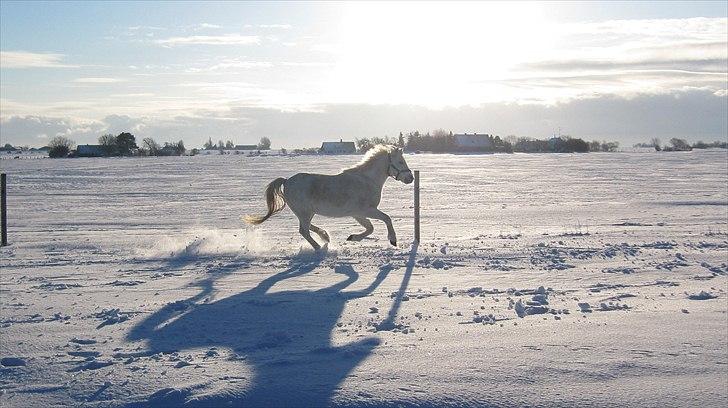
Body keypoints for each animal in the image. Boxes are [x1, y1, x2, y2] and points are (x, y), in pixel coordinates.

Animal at [246, 145, 412, 250]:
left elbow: (370, 228)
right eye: (400, 161)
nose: (411, 178)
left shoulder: (358, 214)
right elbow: (386, 219)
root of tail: (287, 181)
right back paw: (319, 248)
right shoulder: (366, 210)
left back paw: (325, 237)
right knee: (304, 231)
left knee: (307, 228)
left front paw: (352, 237)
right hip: (304, 213)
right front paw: (393, 240)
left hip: (306, 213)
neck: (367, 180)